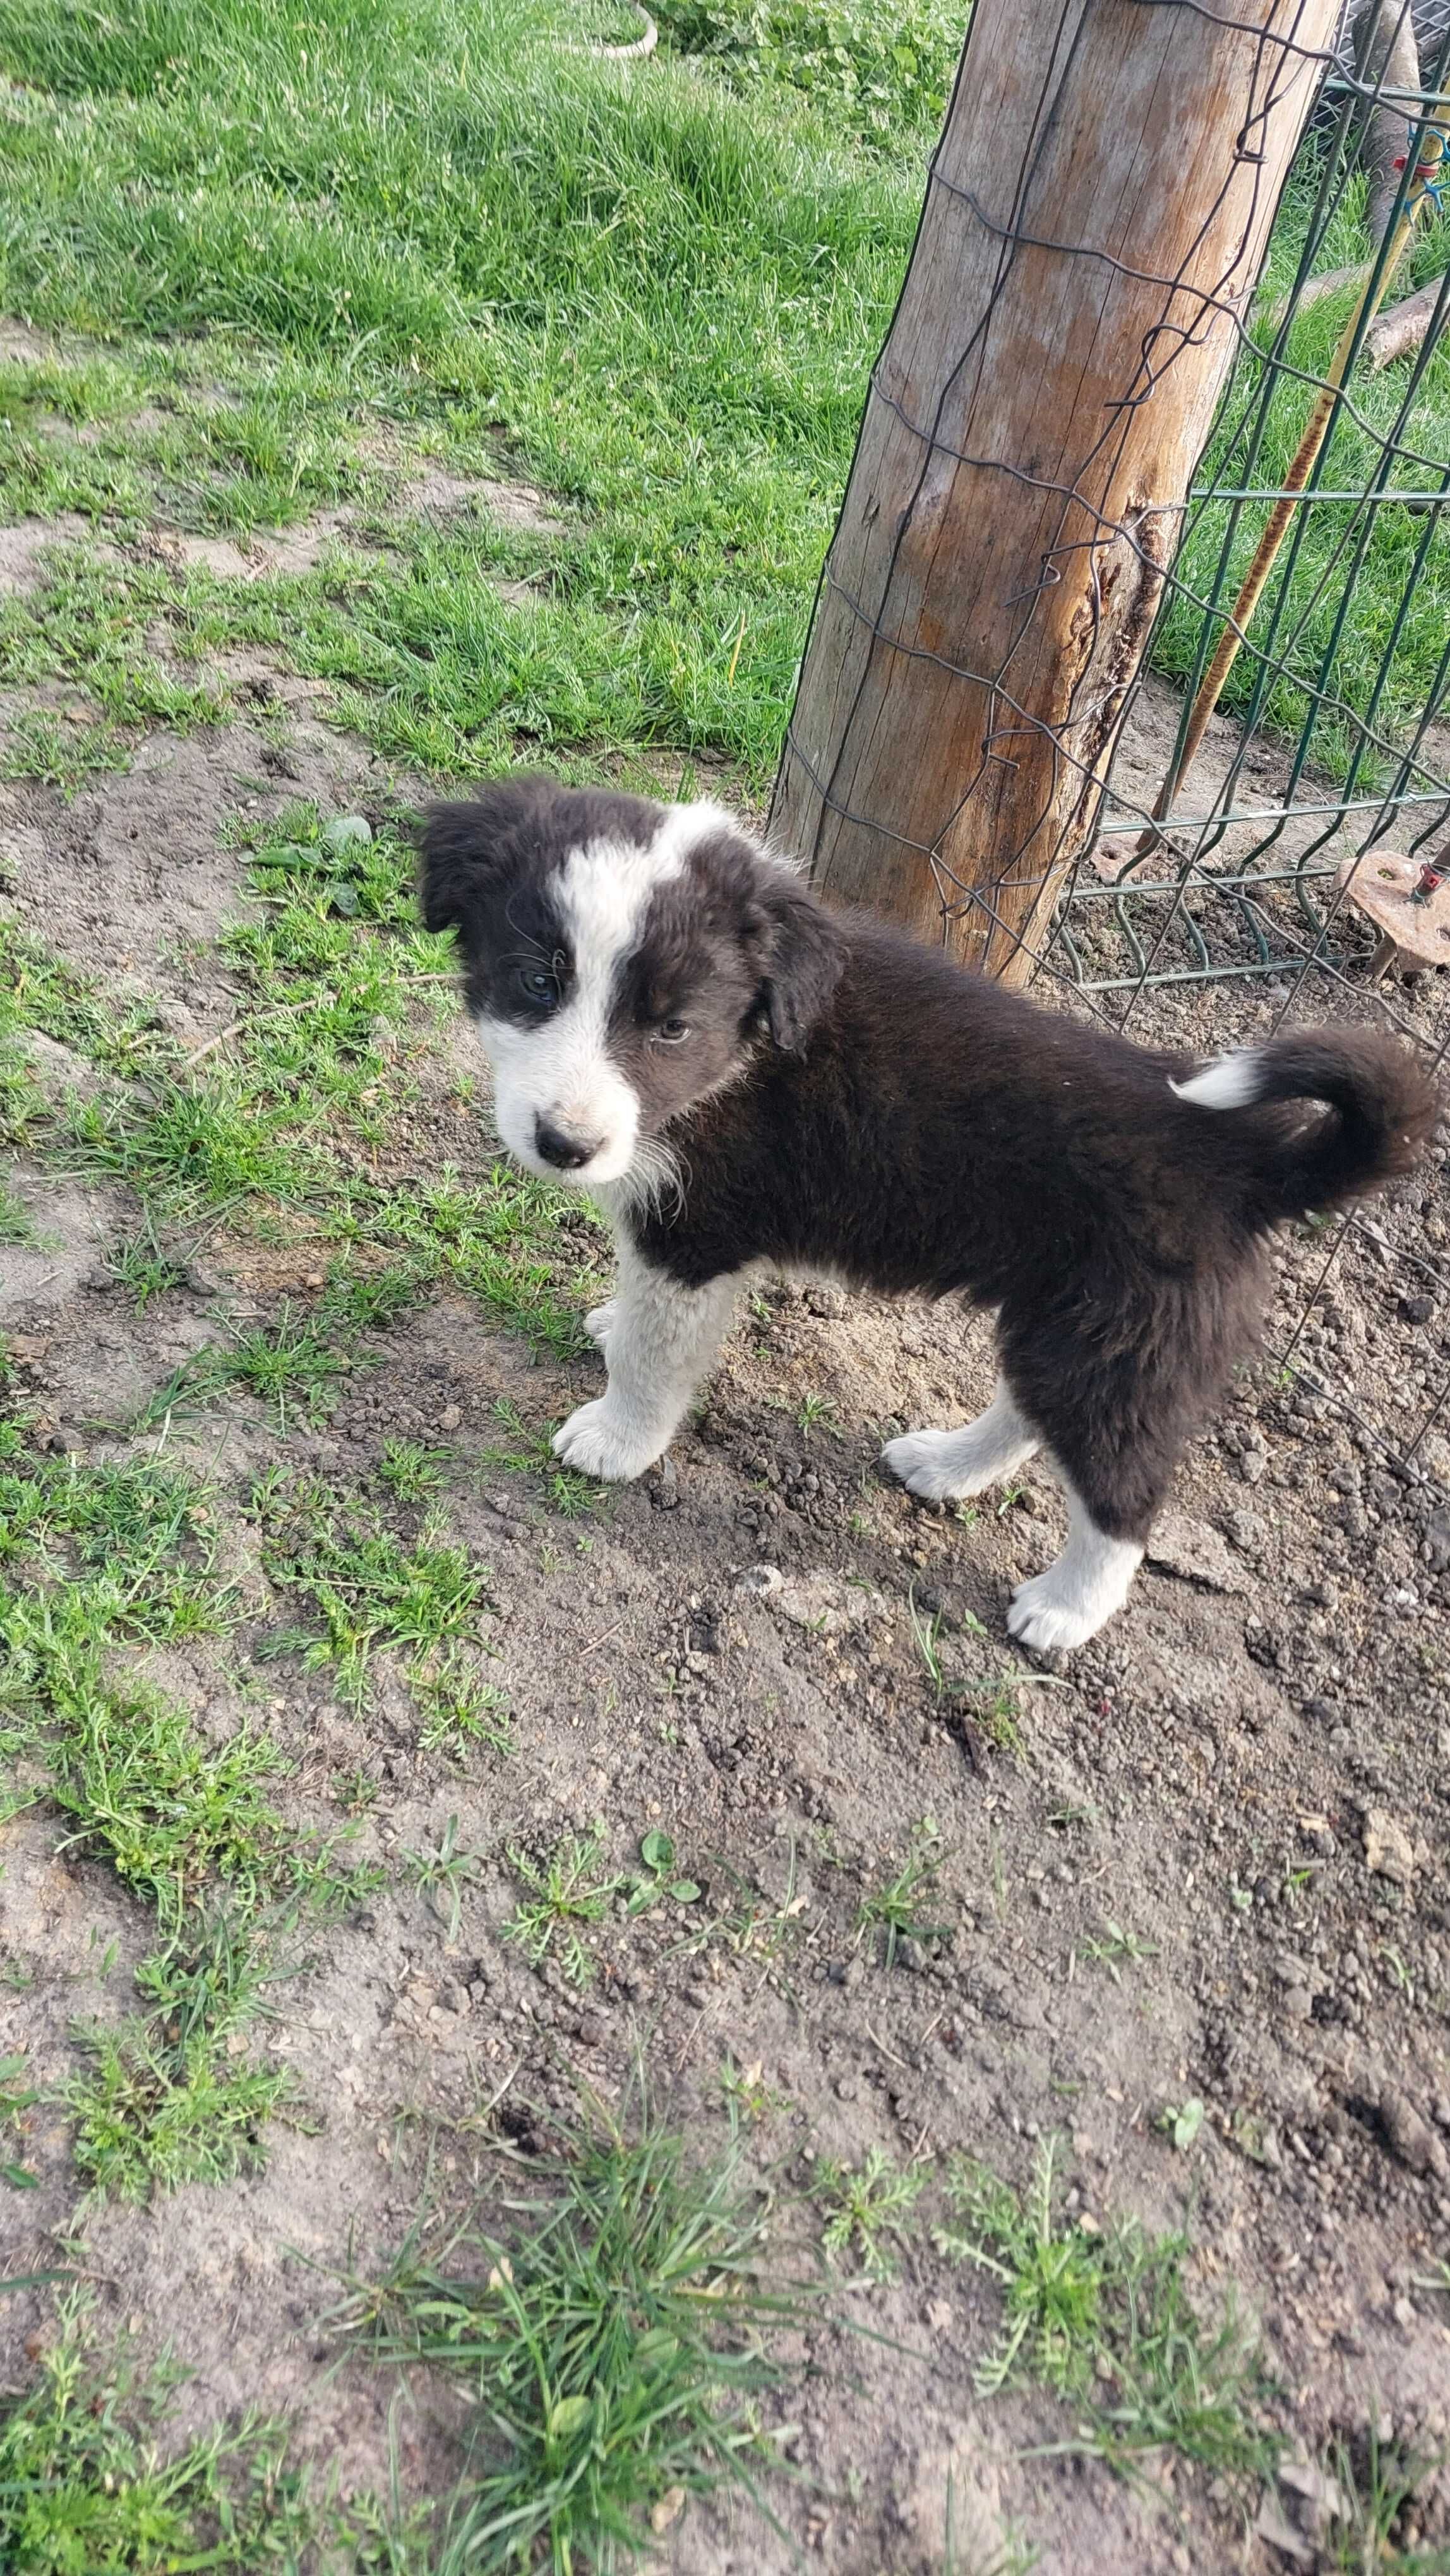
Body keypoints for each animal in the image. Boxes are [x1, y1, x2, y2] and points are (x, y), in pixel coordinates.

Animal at [419, 773, 1442, 1649]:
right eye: (538, 983)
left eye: (672, 1027)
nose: (565, 1145)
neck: (752, 1047)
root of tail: (1247, 1161)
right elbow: (637, 1316)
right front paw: (609, 1321)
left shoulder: (695, 1234)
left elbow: (655, 1354)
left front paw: (615, 1439)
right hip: (1071, 1321)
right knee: (1032, 1412)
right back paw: (946, 1468)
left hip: (1117, 1337)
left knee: (1123, 1492)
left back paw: (1063, 1612)